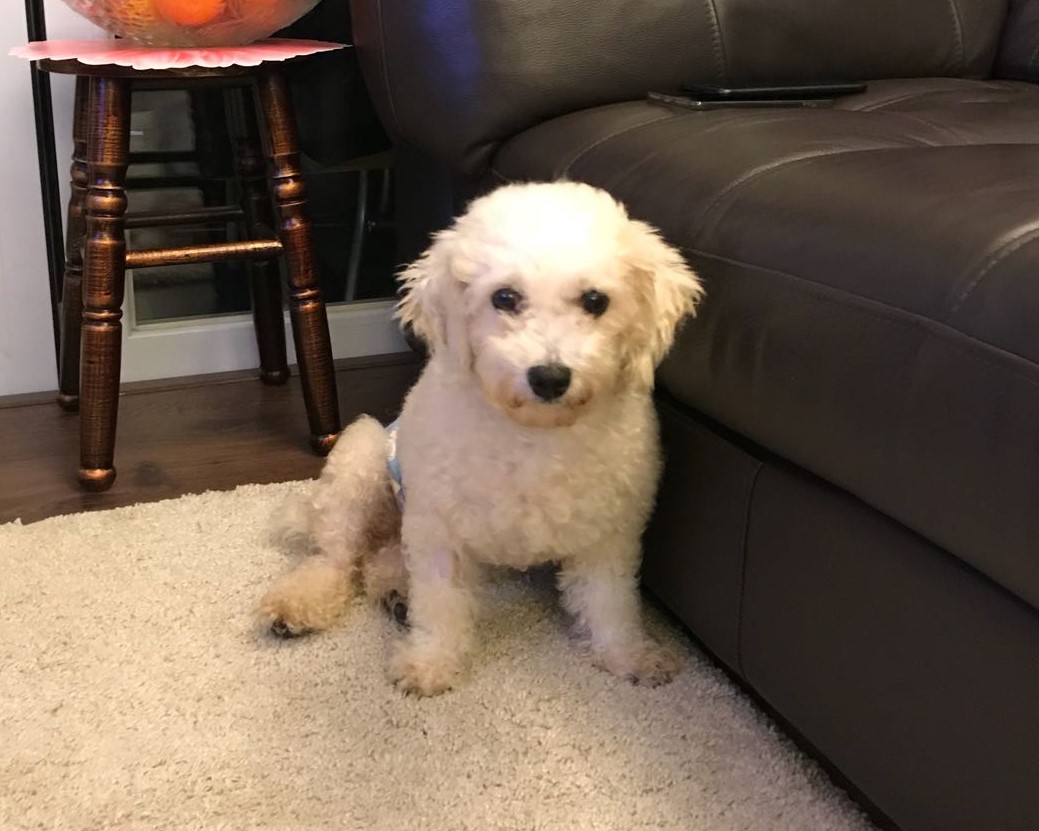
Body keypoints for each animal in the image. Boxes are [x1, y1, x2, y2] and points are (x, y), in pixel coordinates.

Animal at [259, 181, 704, 696]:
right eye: (504, 297)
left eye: (595, 301)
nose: (549, 377)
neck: (534, 436)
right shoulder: (439, 526)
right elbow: (440, 600)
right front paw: (430, 663)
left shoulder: (610, 534)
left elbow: (610, 601)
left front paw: (630, 655)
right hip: (361, 457)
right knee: (336, 553)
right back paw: (298, 604)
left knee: (380, 558)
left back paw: (394, 590)